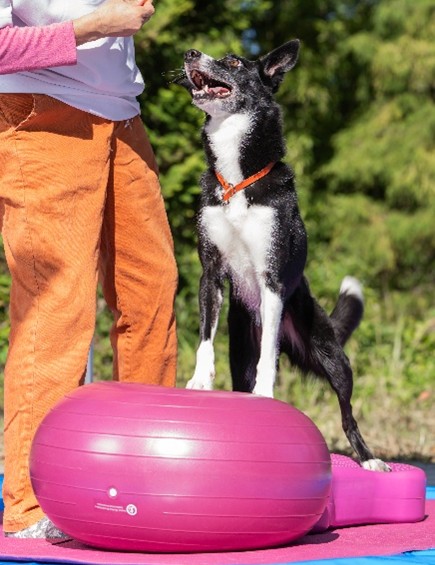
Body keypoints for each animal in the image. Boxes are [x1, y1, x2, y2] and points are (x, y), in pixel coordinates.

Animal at [177, 40, 389, 472]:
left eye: (233, 61)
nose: (190, 53)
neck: (237, 180)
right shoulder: (211, 274)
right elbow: (205, 337)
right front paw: (200, 381)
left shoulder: (272, 280)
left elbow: (268, 356)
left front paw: (265, 393)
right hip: (240, 350)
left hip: (332, 356)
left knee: (347, 412)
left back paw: (369, 460)